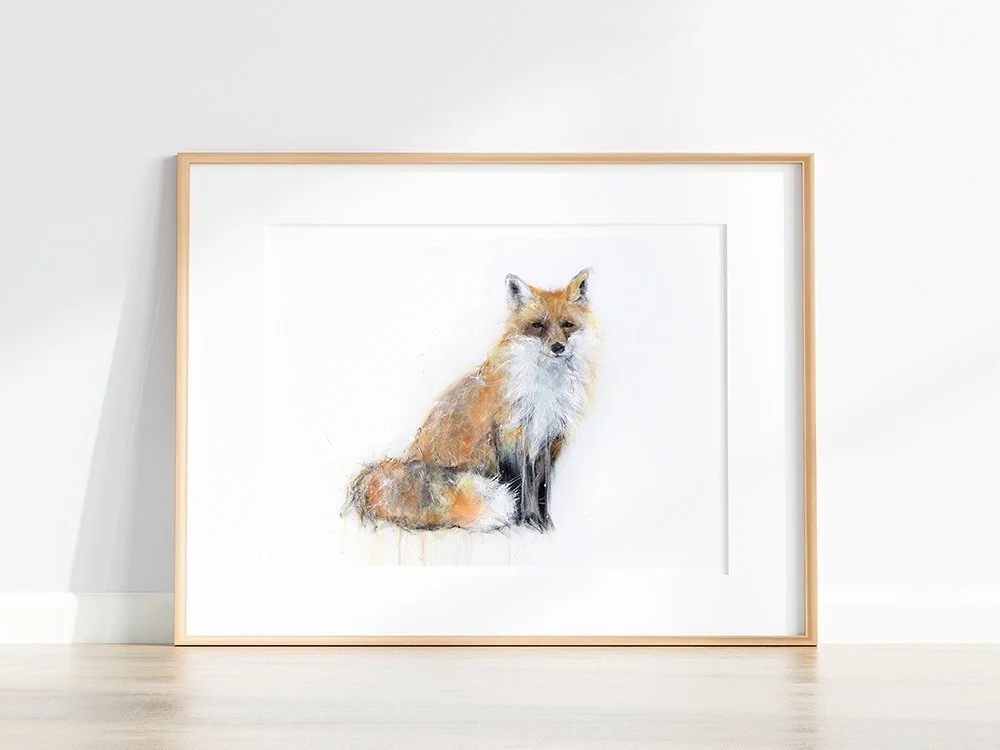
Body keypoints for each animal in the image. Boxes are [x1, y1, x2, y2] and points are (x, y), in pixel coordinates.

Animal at [344, 268, 598, 533]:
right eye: (537, 325)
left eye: (567, 325)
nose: (558, 347)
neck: (545, 390)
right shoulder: (510, 439)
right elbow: (521, 486)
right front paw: (524, 522)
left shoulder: (548, 440)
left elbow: (541, 488)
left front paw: (543, 524)